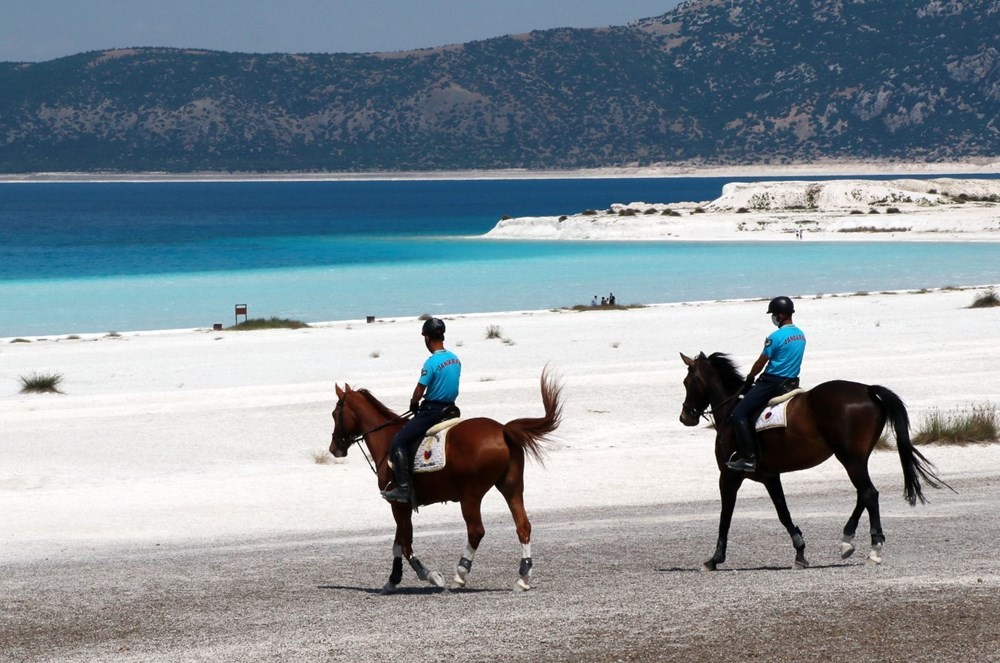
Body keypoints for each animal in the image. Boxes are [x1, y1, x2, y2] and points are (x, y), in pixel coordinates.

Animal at [330, 370, 560, 592]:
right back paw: (522, 579)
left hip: (471, 495)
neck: (387, 440)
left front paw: (430, 576)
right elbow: (398, 544)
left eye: (334, 414)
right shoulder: (402, 506)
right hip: (511, 488)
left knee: (476, 531)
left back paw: (460, 575)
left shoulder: (398, 504)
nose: (334, 448)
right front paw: (392, 580)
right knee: (523, 526)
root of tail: (503, 429)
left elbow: (405, 545)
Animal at [676, 352, 948, 572]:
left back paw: (874, 550)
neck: (732, 411)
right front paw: (800, 552)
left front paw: (714, 559)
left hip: (849, 458)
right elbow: (783, 513)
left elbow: (725, 517)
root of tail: (867, 389)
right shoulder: (769, 476)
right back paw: (847, 541)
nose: (685, 417)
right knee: (864, 494)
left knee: (869, 494)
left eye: (688, 382)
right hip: (857, 458)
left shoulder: (729, 475)